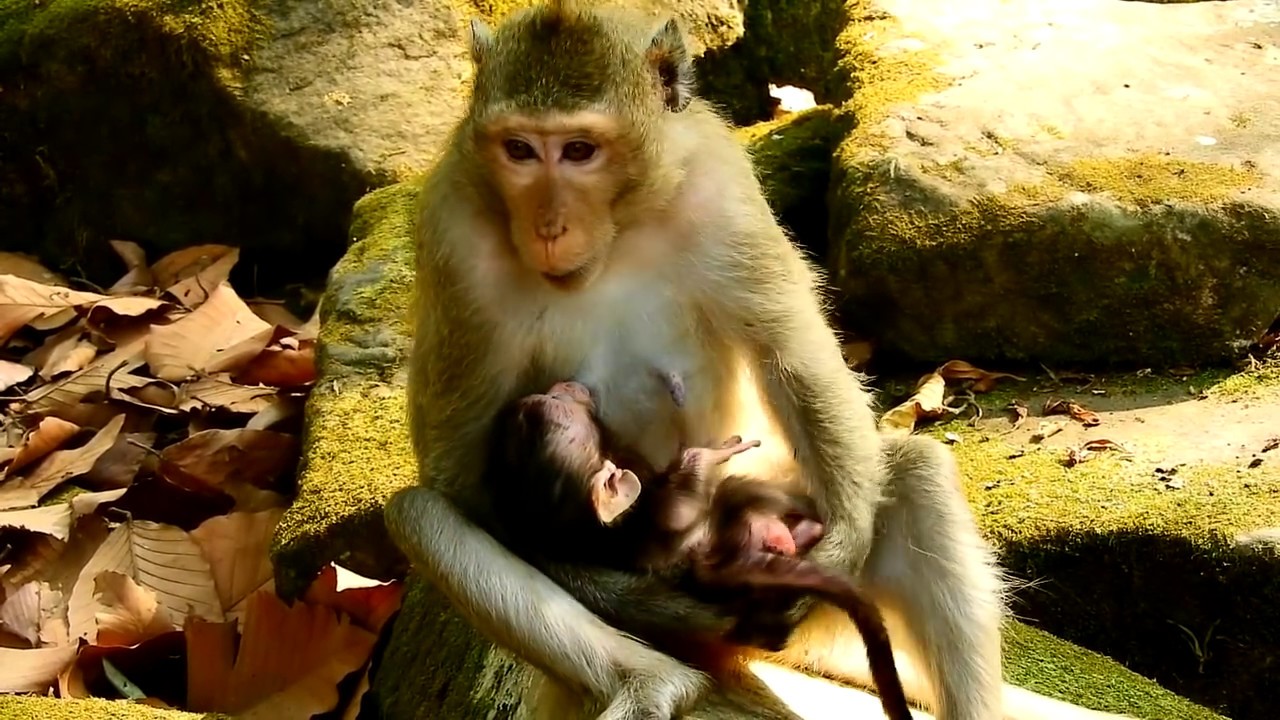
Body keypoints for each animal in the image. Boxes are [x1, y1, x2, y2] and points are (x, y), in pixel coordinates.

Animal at [482, 379, 915, 720]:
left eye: (531, 410)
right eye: (548, 411)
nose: (564, 385)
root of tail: (725, 564)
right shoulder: (660, 510)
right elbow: (687, 484)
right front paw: (719, 450)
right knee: (739, 492)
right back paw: (800, 530)